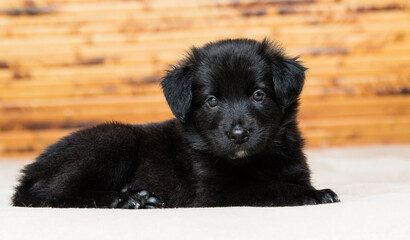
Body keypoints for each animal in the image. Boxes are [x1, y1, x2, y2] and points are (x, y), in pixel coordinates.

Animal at [12, 39, 340, 208]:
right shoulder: (215, 192)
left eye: (258, 95)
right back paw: (125, 200)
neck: (255, 160)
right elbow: (270, 187)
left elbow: (284, 180)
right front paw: (315, 194)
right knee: (51, 192)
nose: (238, 135)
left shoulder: (295, 169)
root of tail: (31, 170)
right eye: (211, 101)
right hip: (113, 140)